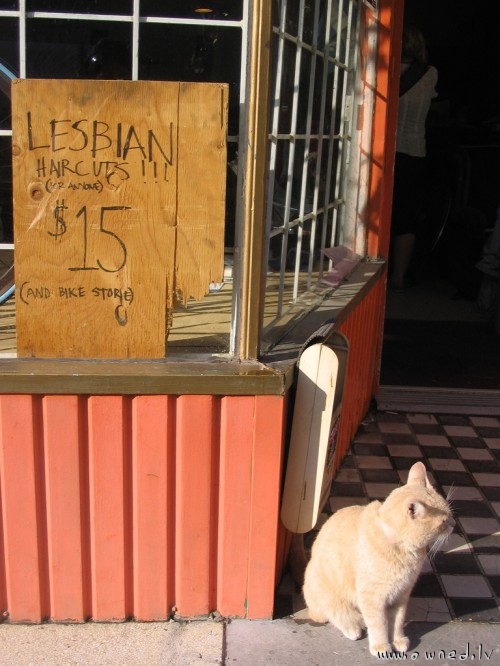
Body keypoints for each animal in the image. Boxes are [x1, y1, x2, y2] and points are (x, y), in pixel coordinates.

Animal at [302, 462, 456, 652]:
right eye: (443, 522)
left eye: (450, 514)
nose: (453, 524)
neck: (401, 549)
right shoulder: (372, 598)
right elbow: (378, 624)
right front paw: (381, 645)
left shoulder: (401, 595)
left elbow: (397, 621)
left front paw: (398, 639)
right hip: (325, 592)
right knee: (334, 613)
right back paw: (352, 626)